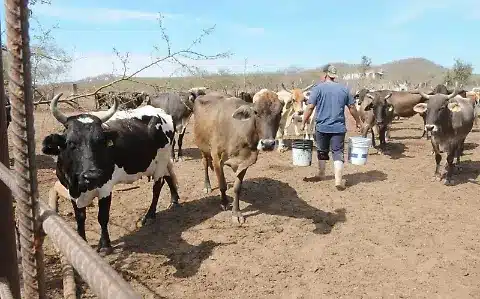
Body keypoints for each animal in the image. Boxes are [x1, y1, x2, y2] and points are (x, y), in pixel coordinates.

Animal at [41, 94, 179, 255]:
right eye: (71, 143)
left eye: (101, 142)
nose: (93, 175)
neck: (78, 185)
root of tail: (159, 112)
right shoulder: (71, 191)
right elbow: (80, 217)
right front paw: (82, 241)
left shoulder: (105, 188)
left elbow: (103, 217)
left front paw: (105, 245)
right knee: (169, 175)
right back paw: (174, 199)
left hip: (161, 161)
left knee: (157, 186)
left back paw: (150, 215)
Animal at [194, 90, 284, 224]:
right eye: (255, 112)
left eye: (280, 112)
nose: (268, 144)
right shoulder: (217, 158)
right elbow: (222, 184)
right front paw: (224, 202)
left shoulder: (245, 162)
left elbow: (237, 188)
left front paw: (236, 213)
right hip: (202, 147)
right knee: (205, 163)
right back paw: (207, 186)